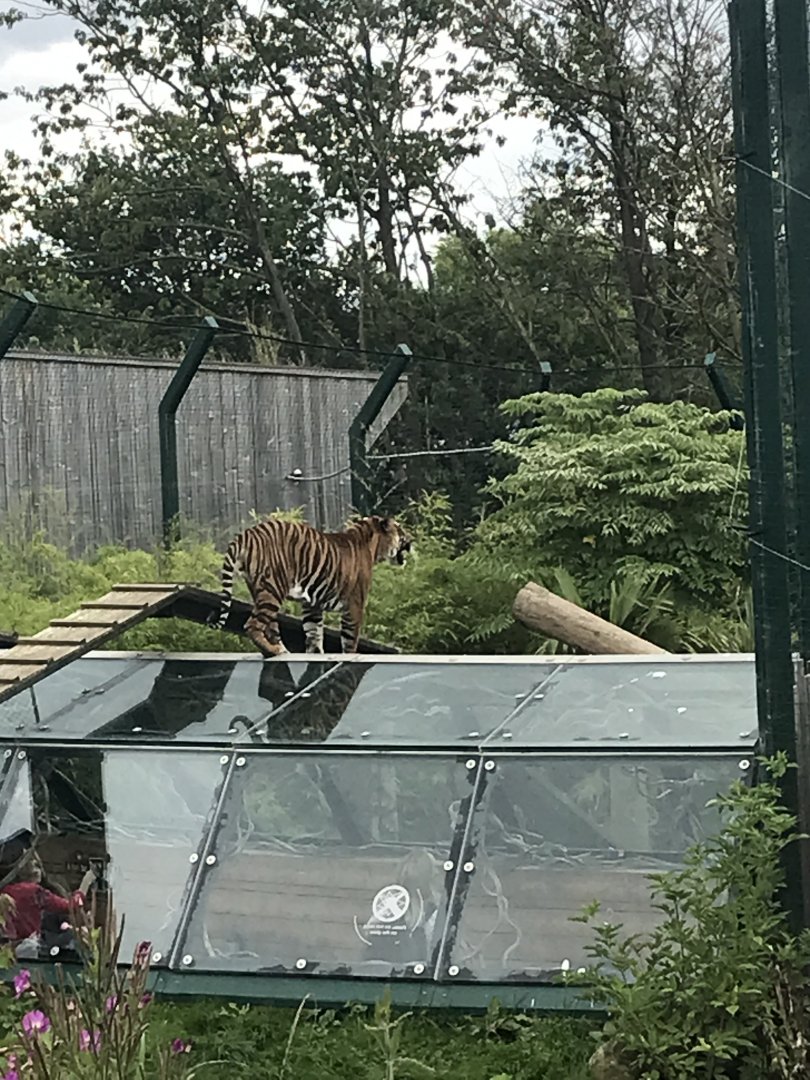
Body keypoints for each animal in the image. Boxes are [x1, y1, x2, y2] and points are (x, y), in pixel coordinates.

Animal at [213, 515, 412, 656]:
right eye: (401, 530)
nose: (411, 540)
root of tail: (246, 534)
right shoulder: (355, 604)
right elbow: (350, 639)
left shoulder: (312, 605)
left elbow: (313, 634)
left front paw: (316, 655)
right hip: (273, 588)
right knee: (251, 625)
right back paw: (273, 651)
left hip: (260, 591)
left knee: (270, 627)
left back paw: (280, 651)